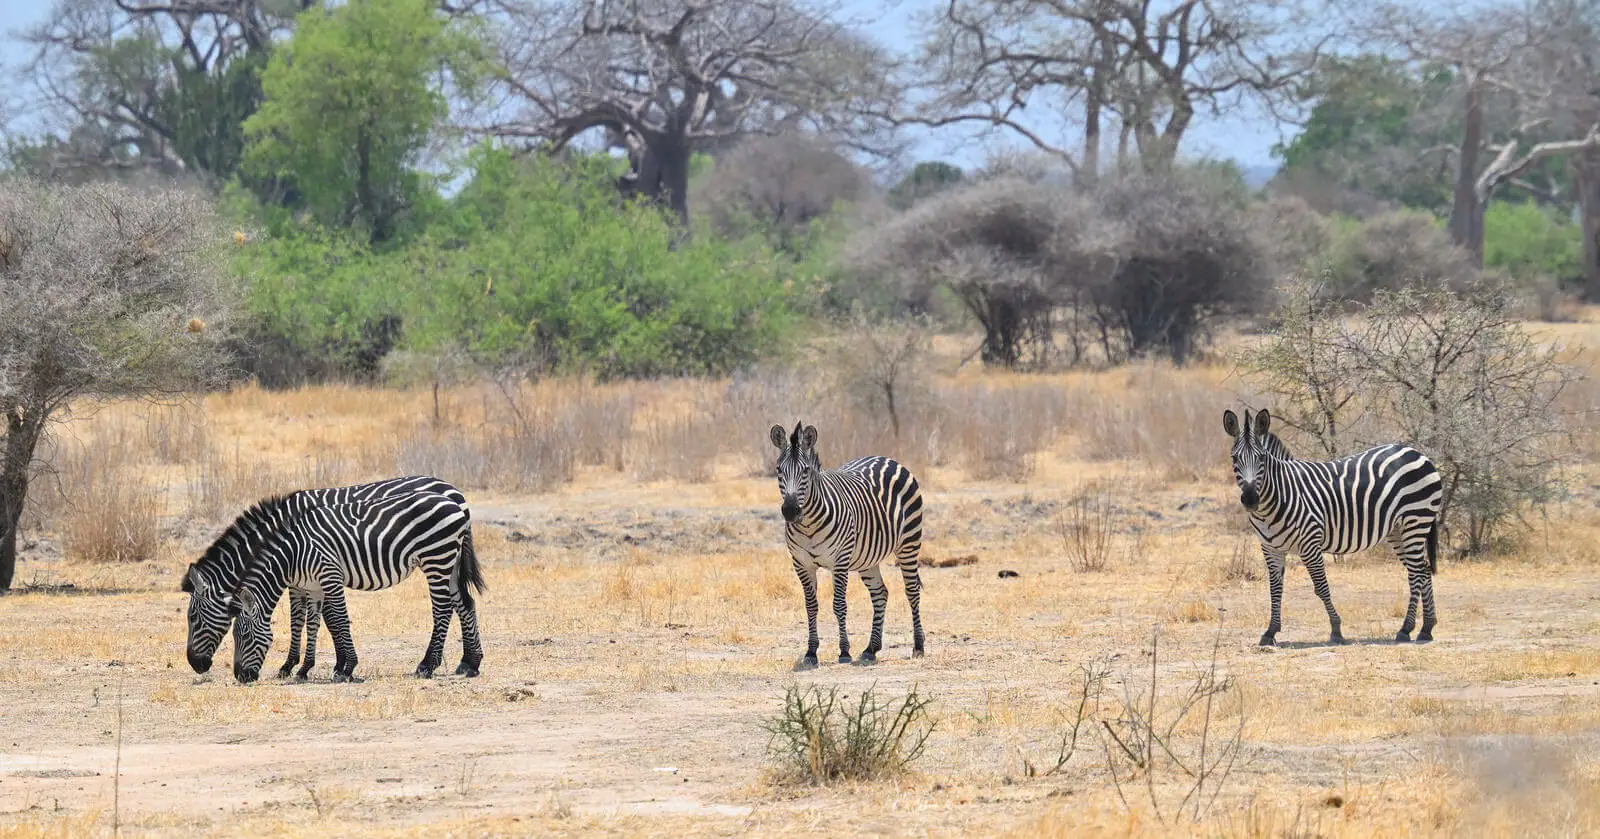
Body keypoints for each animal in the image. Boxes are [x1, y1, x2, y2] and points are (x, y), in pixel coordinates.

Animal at [180, 473, 470, 678]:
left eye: (194, 618)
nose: (195, 664)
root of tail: (455, 493)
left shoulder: (311, 576)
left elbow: (317, 620)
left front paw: (305, 666)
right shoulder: (304, 580)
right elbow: (313, 620)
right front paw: (316, 665)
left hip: (436, 558)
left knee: (443, 608)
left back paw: (428, 665)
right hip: (451, 561)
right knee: (464, 603)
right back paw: (469, 663)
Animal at [771, 419, 928, 669]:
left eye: (806, 470)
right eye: (779, 470)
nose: (790, 511)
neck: (809, 525)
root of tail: (886, 458)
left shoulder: (840, 561)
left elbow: (839, 604)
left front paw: (844, 651)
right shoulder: (801, 563)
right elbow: (811, 606)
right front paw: (811, 652)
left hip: (909, 542)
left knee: (911, 590)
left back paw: (918, 647)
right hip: (868, 557)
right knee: (880, 593)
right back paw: (871, 649)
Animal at [1222, 409, 1452, 646]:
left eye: (1261, 458)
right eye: (1234, 458)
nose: (1250, 499)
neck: (1279, 496)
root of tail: (1418, 453)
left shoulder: (1310, 543)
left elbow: (1321, 587)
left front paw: (1336, 630)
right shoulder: (1270, 548)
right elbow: (1275, 589)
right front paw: (1270, 631)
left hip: (1415, 520)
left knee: (1416, 573)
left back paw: (1406, 629)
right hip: (1399, 530)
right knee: (1423, 569)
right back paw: (1426, 628)